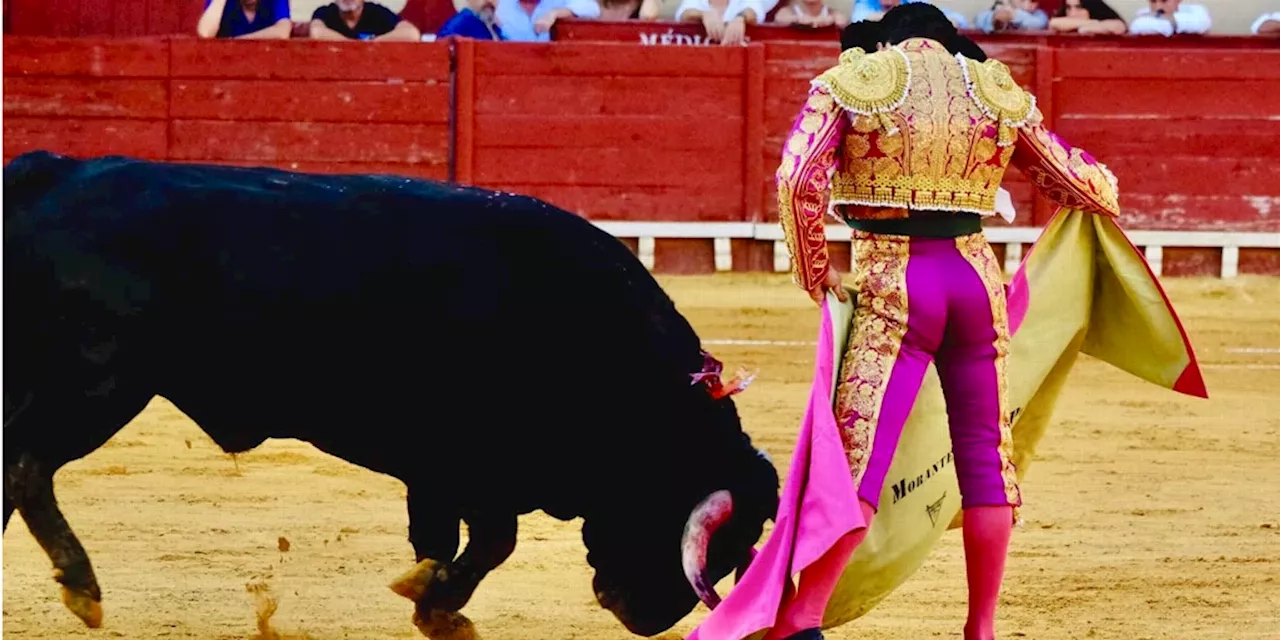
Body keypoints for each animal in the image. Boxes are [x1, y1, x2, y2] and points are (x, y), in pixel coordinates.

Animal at [2, 152, 778, 637]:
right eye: (702, 533)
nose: (649, 618)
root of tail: (52, 173)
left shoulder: (441, 470)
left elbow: (452, 540)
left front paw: (432, 598)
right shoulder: (464, 464)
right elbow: (491, 540)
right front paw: (438, 606)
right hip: (100, 380)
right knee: (28, 466)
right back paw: (82, 587)